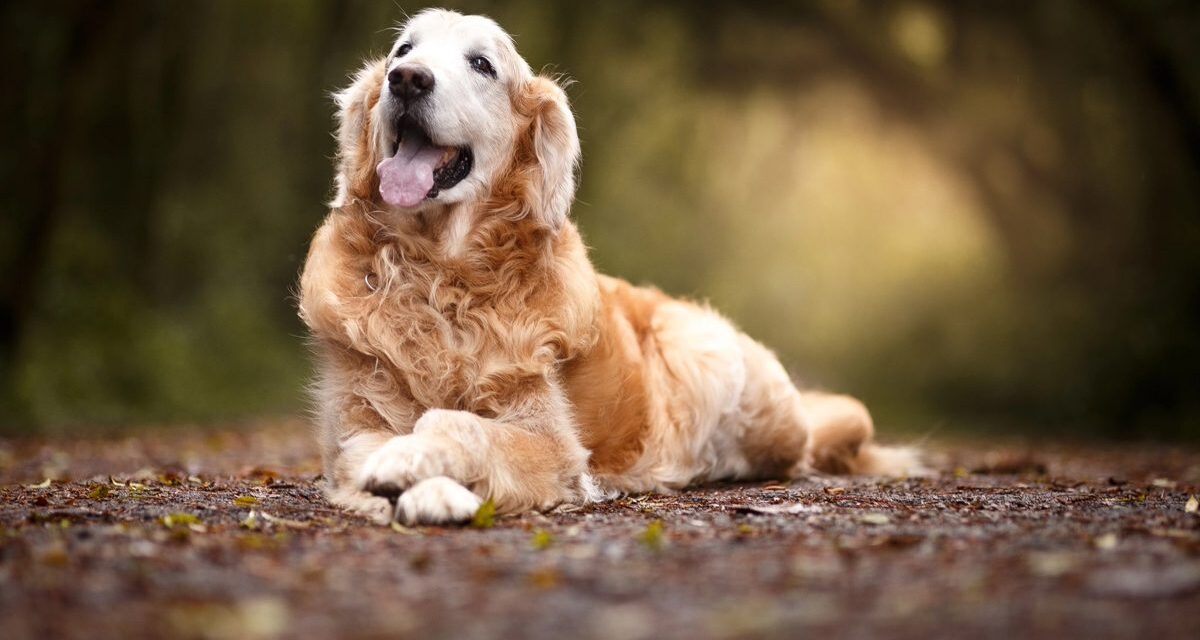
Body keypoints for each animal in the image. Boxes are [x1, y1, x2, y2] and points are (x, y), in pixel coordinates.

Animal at [300, 8, 916, 523]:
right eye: (403, 50)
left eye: (482, 64)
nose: (407, 78)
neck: (439, 275)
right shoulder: (353, 427)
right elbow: (373, 448)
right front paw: (412, 479)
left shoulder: (550, 443)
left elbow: (456, 423)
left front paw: (422, 472)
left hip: (705, 354)